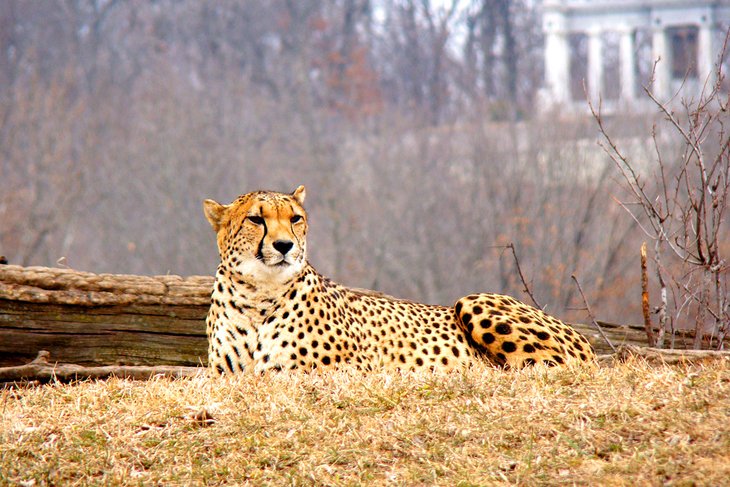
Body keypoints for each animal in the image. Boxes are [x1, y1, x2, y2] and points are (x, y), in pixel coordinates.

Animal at [203, 186, 592, 374]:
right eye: (256, 219)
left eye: (295, 218)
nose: (285, 245)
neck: (259, 295)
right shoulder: (227, 377)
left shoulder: (351, 370)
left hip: (473, 300)